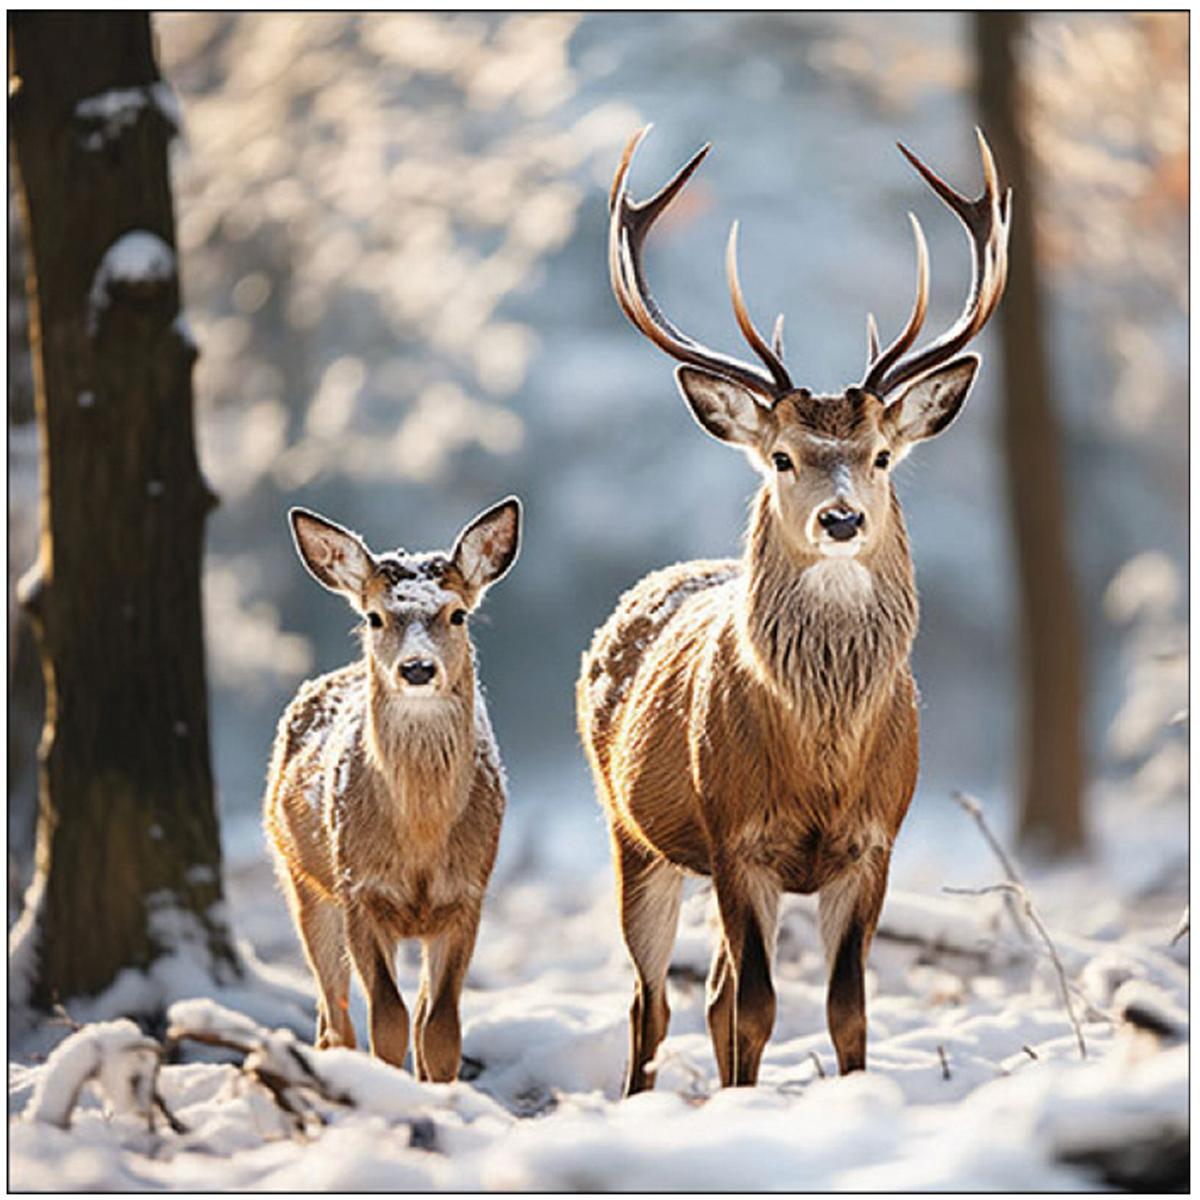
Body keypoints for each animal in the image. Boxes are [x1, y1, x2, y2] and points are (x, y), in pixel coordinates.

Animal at [263, 497, 520, 1081]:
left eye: (457, 614)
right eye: (374, 616)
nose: (418, 668)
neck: (420, 842)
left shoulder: (467, 895)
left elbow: (439, 1029)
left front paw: (440, 1091)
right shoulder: (360, 890)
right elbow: (387, 1020)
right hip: (302, 880)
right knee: (334, 1018)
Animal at [578, 127, 1010, 1093]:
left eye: (881, 454)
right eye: (781, 456)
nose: (841, 518)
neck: (821, 757)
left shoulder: (875, 840)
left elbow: (846, 1009)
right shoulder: (736, 836)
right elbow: (758, 1010)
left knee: (702, 995)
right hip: (634, 833)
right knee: (651, 1002)